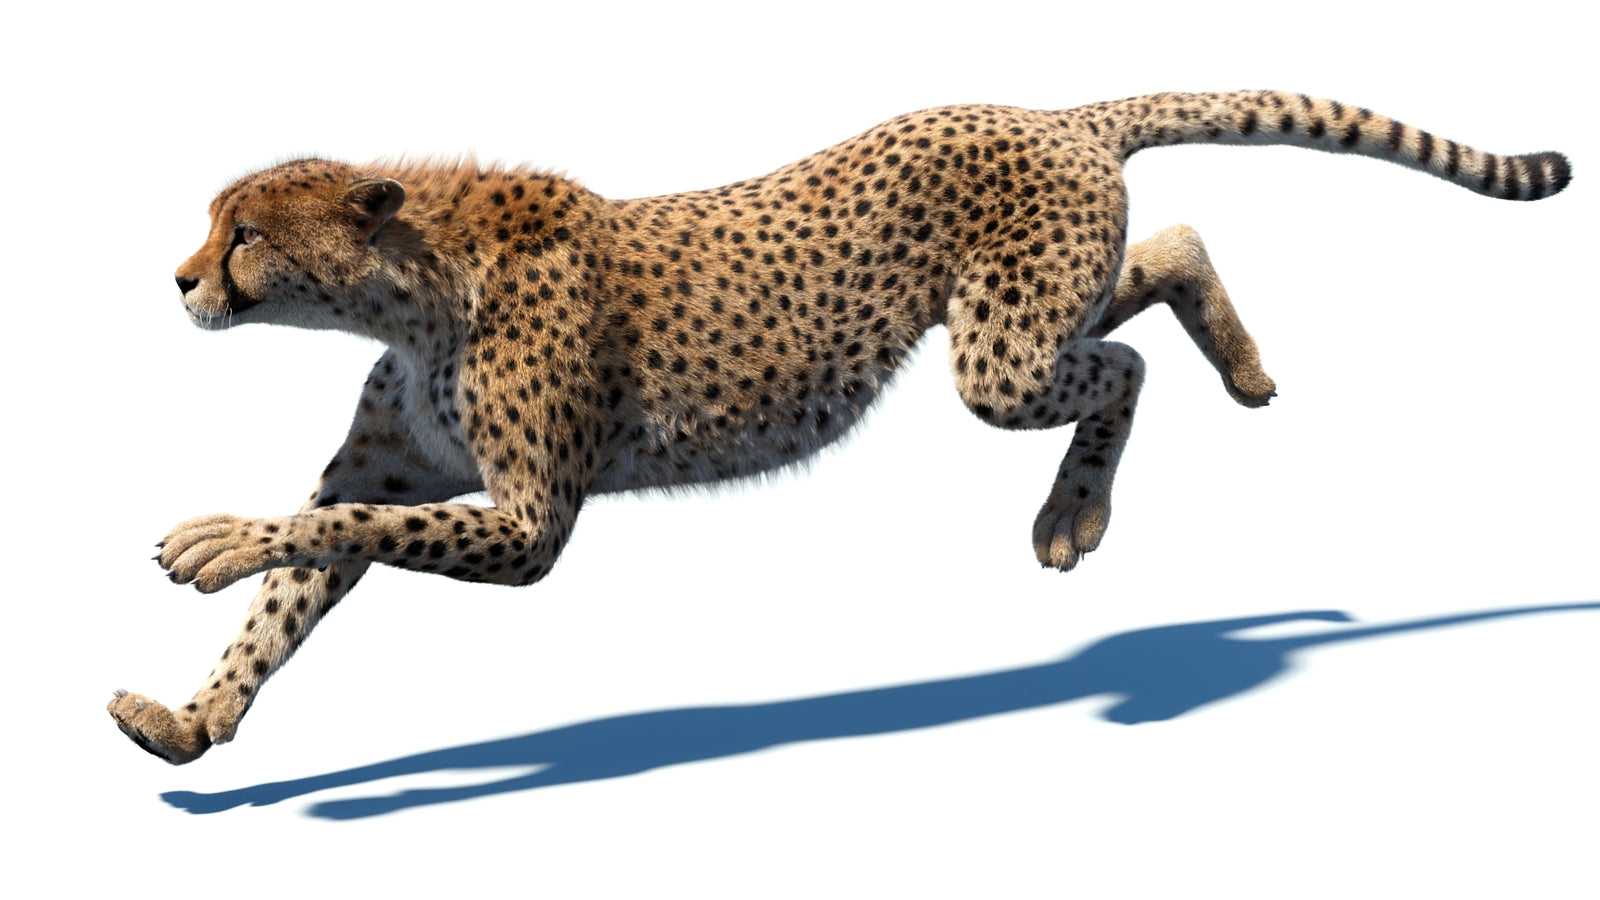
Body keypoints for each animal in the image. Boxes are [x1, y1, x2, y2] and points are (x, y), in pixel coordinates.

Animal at [109, 90, 1571, 764]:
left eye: (244, 235)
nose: (177, 280)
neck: (411, 292)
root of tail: (1054, 113)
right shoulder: (405, 468)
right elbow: (306, 579)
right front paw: (191, 721)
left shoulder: (527, 526)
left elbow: (323, 529)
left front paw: (212, 541)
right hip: (1025, 312)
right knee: (1165, 252)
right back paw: (1244, 370)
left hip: (998, 355)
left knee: (1121, 360)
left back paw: (1076, 508)